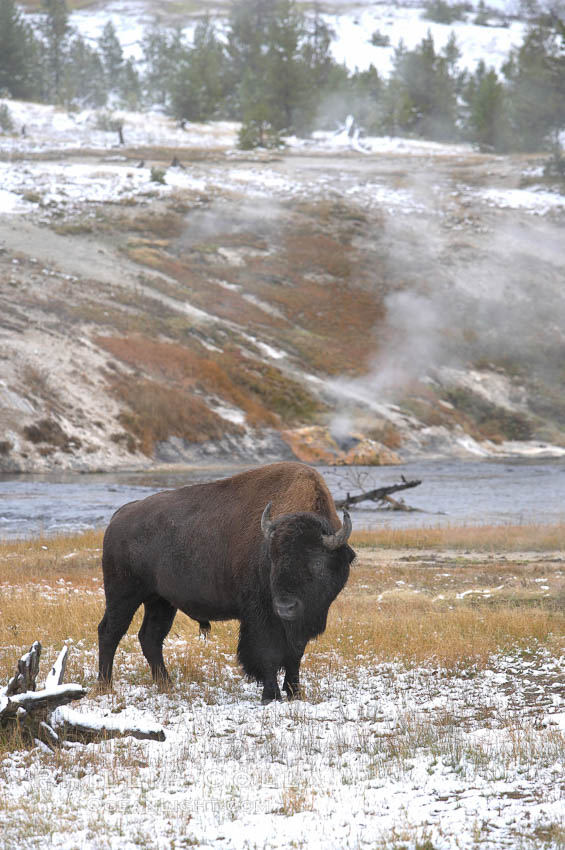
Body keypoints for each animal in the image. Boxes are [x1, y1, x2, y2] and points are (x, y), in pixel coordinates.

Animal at [97, 460, 352, 700]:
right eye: (273, 559)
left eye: (317, 562)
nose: (285, 607)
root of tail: (118, 516)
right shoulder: (261, 617)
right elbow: (269, 654)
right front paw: (270, 696)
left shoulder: (299, 622)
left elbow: (295, 656)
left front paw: (295, 693)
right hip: (123, 595)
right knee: (110, 632)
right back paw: (105, 686)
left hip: (160, 601)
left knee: (150, 637)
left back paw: (166, 685)